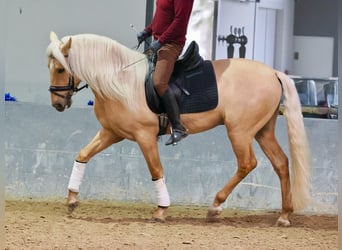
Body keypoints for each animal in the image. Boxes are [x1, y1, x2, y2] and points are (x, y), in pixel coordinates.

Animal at [46, 31, 312, 227]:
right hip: (262, 131)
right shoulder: (112, 133)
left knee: (247, 163)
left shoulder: (144, 136)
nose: (57, 104)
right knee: (281, 163)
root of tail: (273, 72)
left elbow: (156, 170)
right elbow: (83, 155)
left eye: (60, 69)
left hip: (240, 131)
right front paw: (71, 200)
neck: (120, 80)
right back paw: (284, 216)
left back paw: (215, 207)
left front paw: (161, 210)